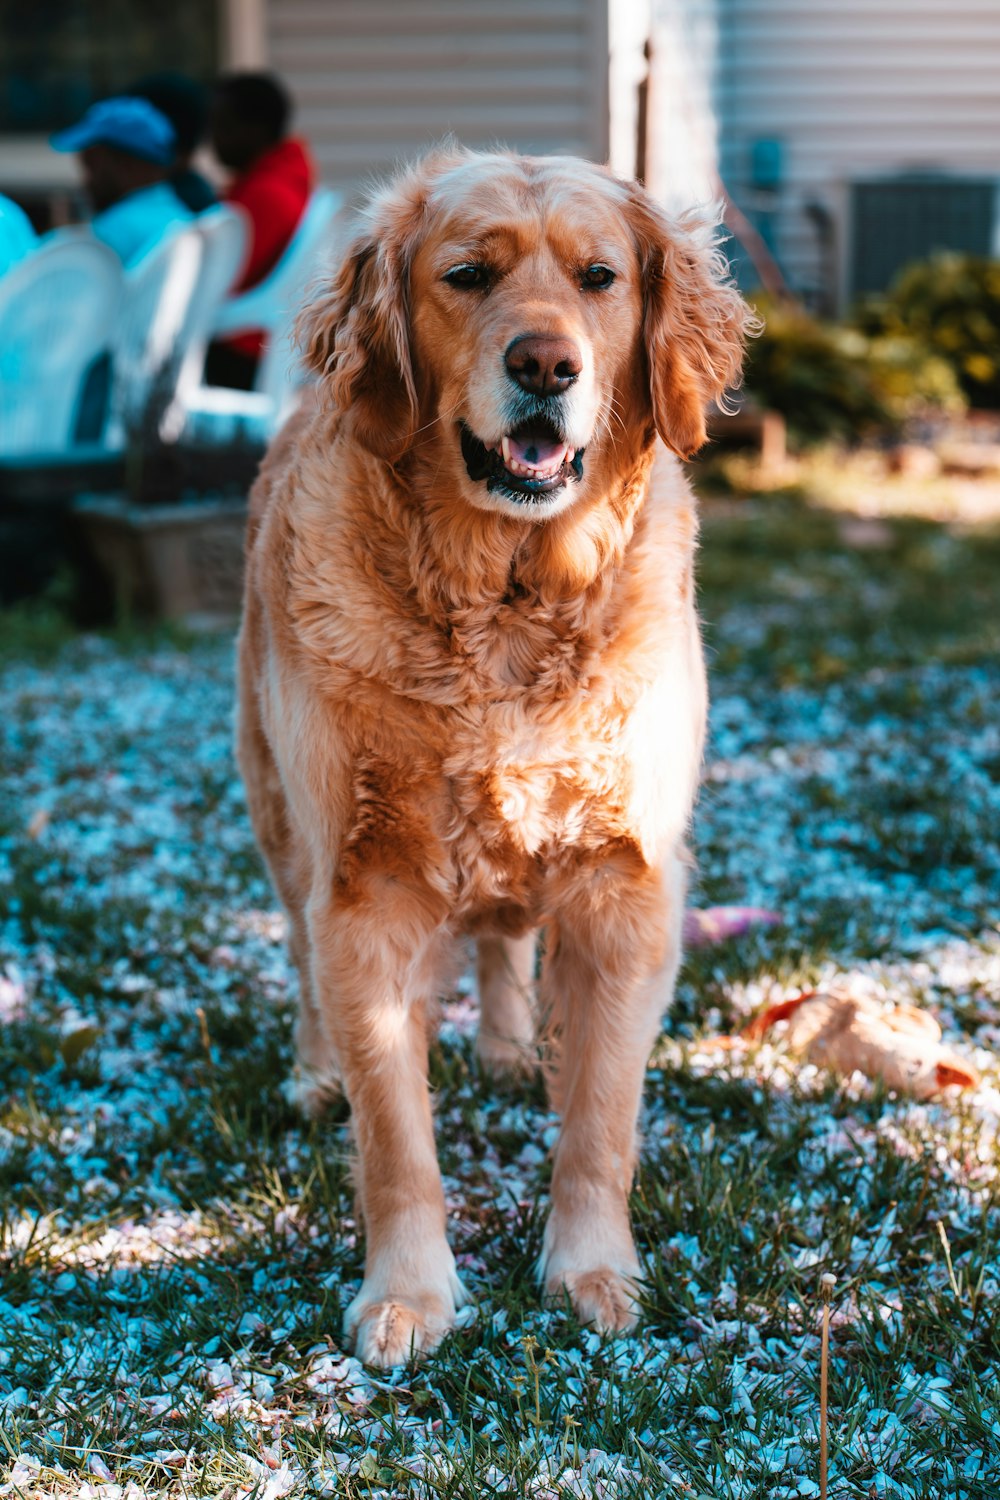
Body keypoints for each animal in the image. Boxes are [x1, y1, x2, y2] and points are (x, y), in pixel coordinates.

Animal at [236, 146, 749, 1368]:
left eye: (600, 277)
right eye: (466, 276)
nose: (545, 365)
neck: (506, 600)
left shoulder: (627, 887)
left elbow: (600, 1117)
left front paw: (593, 1271)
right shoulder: (363, 891)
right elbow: (394, 1139)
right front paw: (408, 1296)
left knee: (506, 929)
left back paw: (511, 1046)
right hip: (279, 814)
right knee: (300, 952)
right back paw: (312, 1072)